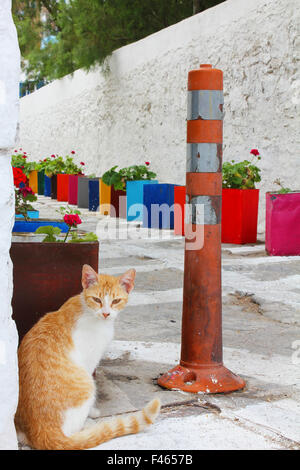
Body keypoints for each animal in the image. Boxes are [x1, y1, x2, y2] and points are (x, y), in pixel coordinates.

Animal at [14, 266, 159, 450]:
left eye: (116, 301)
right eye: (97, 299)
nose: (106, 313)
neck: (89, 311)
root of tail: (41, 433)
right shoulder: (89, 362)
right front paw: (93, 411)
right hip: (87, 385)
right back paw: (89, 424)